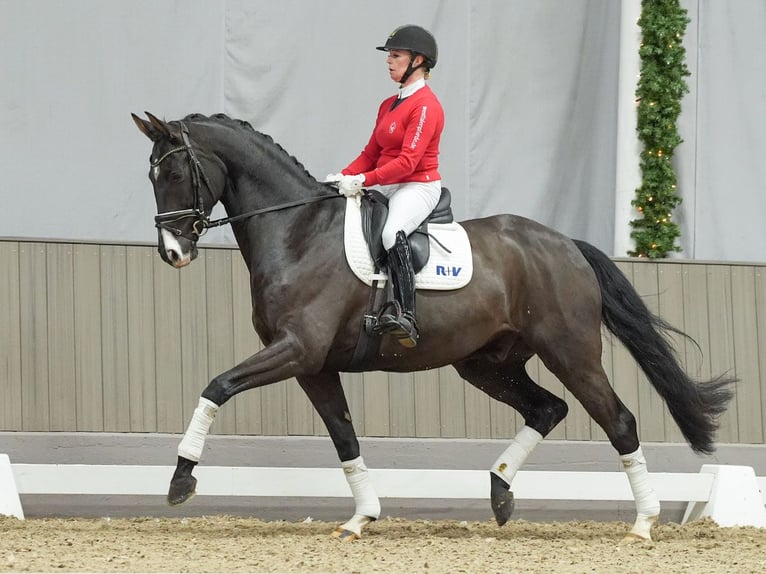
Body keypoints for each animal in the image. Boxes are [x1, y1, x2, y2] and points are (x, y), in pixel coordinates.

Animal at [132, 112, 736, 544]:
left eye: (174, 173)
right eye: (152, 175)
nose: (172, 252)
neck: (298, 230)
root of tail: (565, 244)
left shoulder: (297, 351)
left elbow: (216, 386)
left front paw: (180, 481)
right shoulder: (313, 366)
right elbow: (344, 436)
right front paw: (362, 517)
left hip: (571, 353)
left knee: (618, 420)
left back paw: (643, 523)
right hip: (487, 364)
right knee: (548, 409)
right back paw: (500, 493)